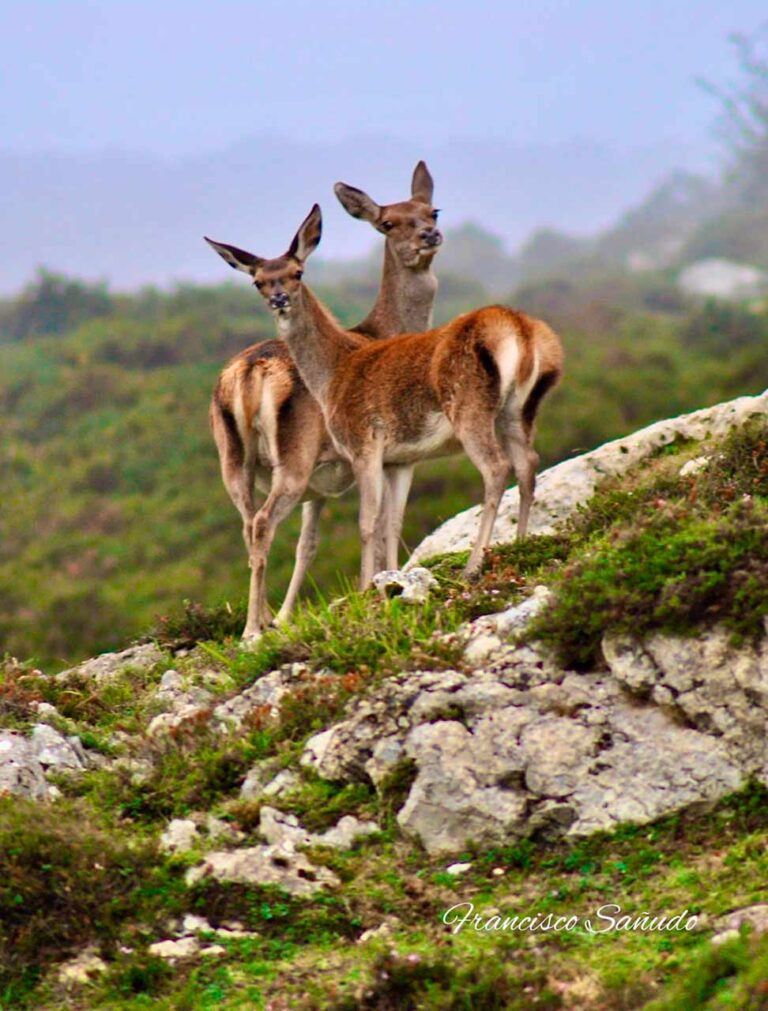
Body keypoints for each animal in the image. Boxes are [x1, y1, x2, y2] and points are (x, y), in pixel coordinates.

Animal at [205, 165, 444, 638]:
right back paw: (252, 630)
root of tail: (251, 371)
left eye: (432, 210)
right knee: (263, 522)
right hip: (293, 460)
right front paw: (387, 583)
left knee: (248, 524)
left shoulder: (322, 484)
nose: (429, 235)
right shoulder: (384, 457)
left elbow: (308, 544)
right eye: (387, 223)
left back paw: (259, 619)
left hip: (234, 461)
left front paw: (284, 616)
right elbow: (385, 522)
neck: (380, 331)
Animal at [207, 203, 561, 590]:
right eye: (258, 281)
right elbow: (389, 523)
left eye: (297, 272)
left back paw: (473, 565)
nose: (279, 299)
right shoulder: (398, 459)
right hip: (517, 411)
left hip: (468, 410)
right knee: (527, 463)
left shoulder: (364, 445)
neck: (334, 369)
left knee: (497, 467)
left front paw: (368, 587)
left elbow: (367, 524)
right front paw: (389, 580)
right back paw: (519, 545)